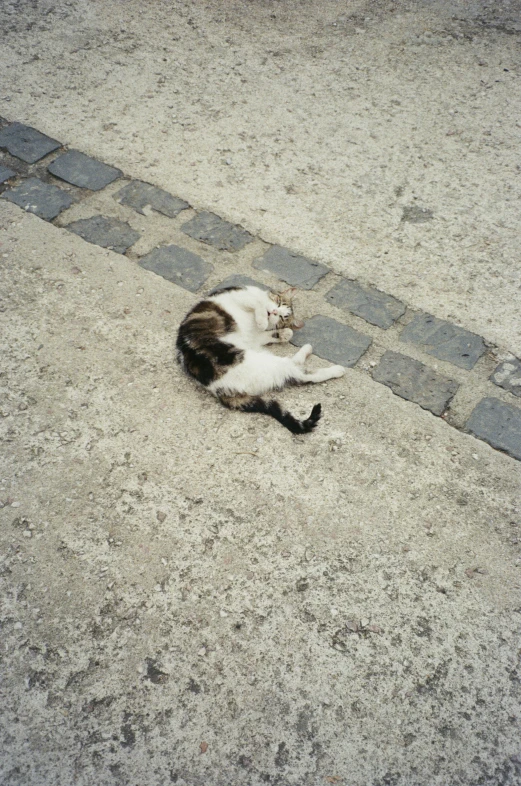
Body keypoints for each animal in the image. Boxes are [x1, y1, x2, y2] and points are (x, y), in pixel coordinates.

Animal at [176, 284, 346, 432]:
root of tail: (219, 389)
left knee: (298, 369)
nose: (274, 311)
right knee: (300, 373)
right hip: (264, 363)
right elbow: (258, 302)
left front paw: (284, 332)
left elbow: (269, 332)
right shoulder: (241, 296)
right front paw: (264, 319)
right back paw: (335, 368)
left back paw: (312, 353)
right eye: (278, 302)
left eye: (283, 317)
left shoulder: (255, 337)